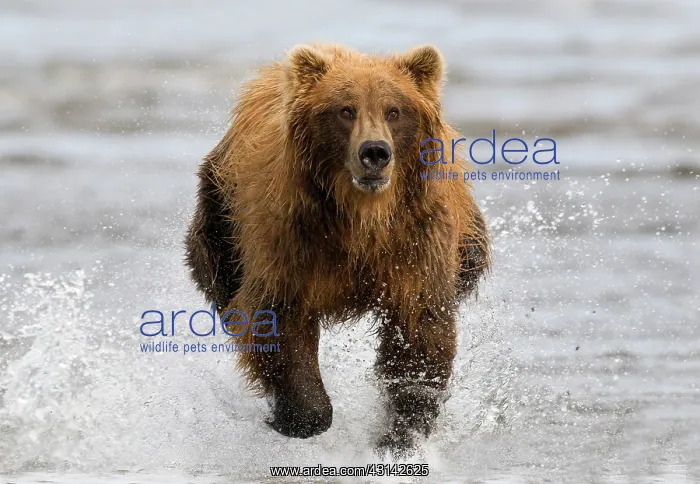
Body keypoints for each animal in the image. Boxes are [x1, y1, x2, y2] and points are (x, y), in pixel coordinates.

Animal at [185, 43, 490, 457]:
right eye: (345, 109)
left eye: (394, 110)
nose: (375, 152)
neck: (361, 219)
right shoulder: (291, 239)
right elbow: (278, 319)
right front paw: (299, 416)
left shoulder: (414, 242)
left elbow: (419, 331)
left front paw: (401, 433)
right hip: (222, 213)